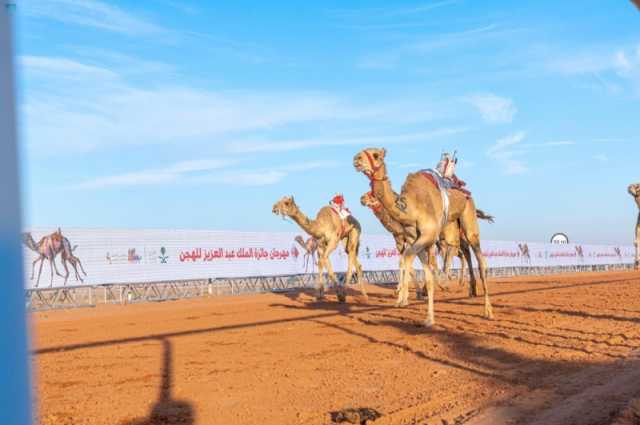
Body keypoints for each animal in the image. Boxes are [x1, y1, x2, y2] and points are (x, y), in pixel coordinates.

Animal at [352, 147, 492, 324]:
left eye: (376, 155)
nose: (356, 159)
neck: (411, 207)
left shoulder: (428, 235)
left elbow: (410, 261)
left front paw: (405, 299)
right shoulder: (412, 239)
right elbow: (420, 268)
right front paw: (424, 312)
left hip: (468, 218)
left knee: (478, 259)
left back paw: (487, 310)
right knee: (463, 253)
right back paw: (469, 289)